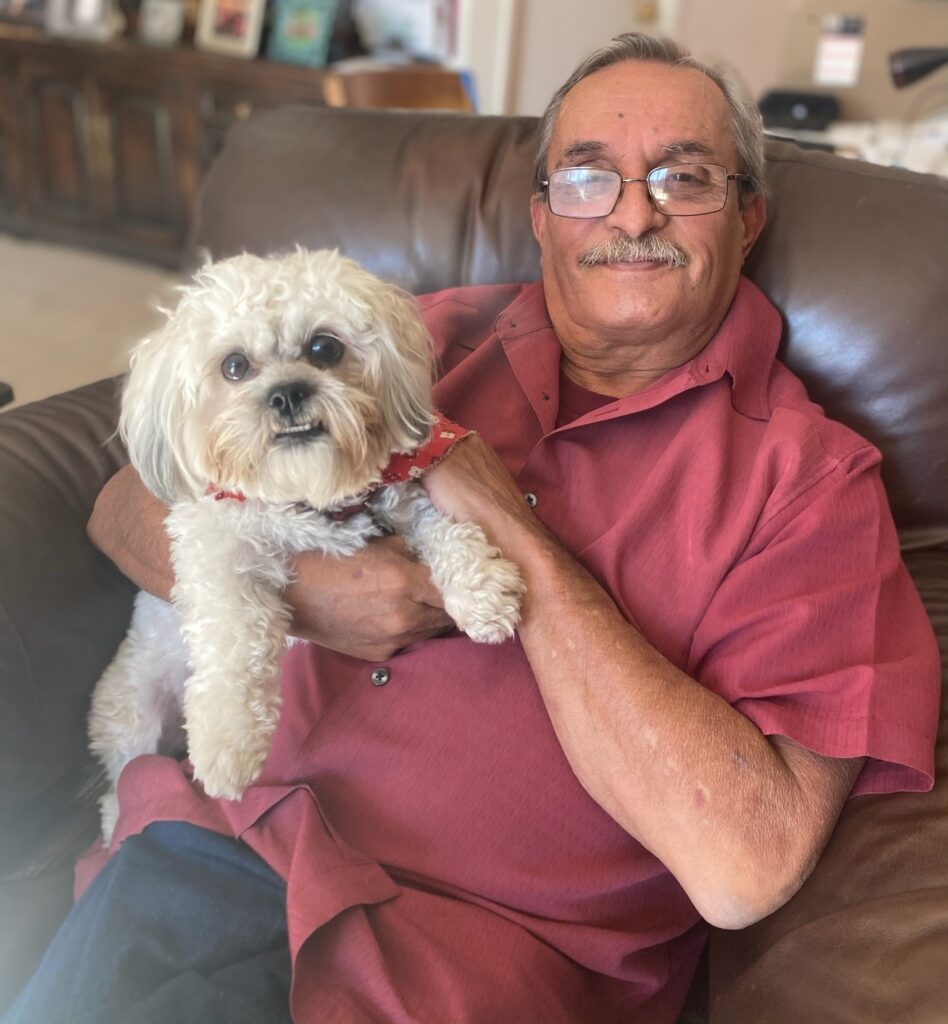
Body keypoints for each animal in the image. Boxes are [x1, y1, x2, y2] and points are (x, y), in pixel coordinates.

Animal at [88, 247, 524, 839]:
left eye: (324, 347)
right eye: (234, 366)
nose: (288, 392)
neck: (310, 493)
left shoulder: (400, 503)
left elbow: (446, 530)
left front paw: (480, 594)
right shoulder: (217, 546)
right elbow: (235, 632)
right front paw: (227, 743)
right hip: (134, 706)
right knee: (125, 774)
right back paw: (118, 814)